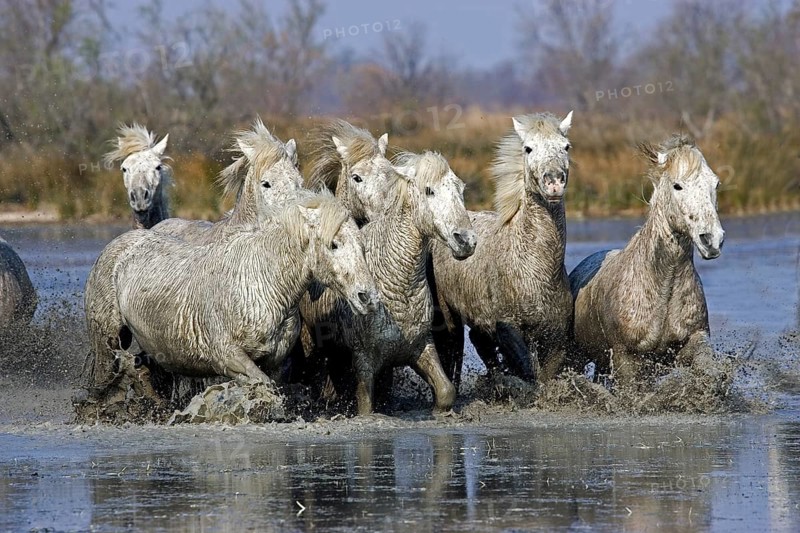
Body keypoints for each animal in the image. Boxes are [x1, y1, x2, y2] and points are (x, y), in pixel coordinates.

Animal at [86, 191, 379, 394]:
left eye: (363, 245)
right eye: (334, 244)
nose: (368, 298)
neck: (264, 285)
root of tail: (118, 246)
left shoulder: (276, 363)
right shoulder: (229, 358)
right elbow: (263, 386)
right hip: (106, 340)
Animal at [299, 151, 477, 414]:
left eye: (460, 188)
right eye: (429, 190)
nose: (466, 240)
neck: (399, 285)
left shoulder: (421, 348)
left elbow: (446, 391)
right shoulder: (364, 361)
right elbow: (366, 407)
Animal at [429, 111, 574, 389]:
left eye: (566, 146)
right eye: (528, 148)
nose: (553, 182)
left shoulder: (556, 341)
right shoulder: (508, 329)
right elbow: (527, 372)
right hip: (449, 319)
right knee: (453, 353)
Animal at [569, 134, 725, 385]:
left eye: (716, 184)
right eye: (677, 185)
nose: (712, 240)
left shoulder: (694, 339)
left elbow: (709, 368)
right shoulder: (626, 359)